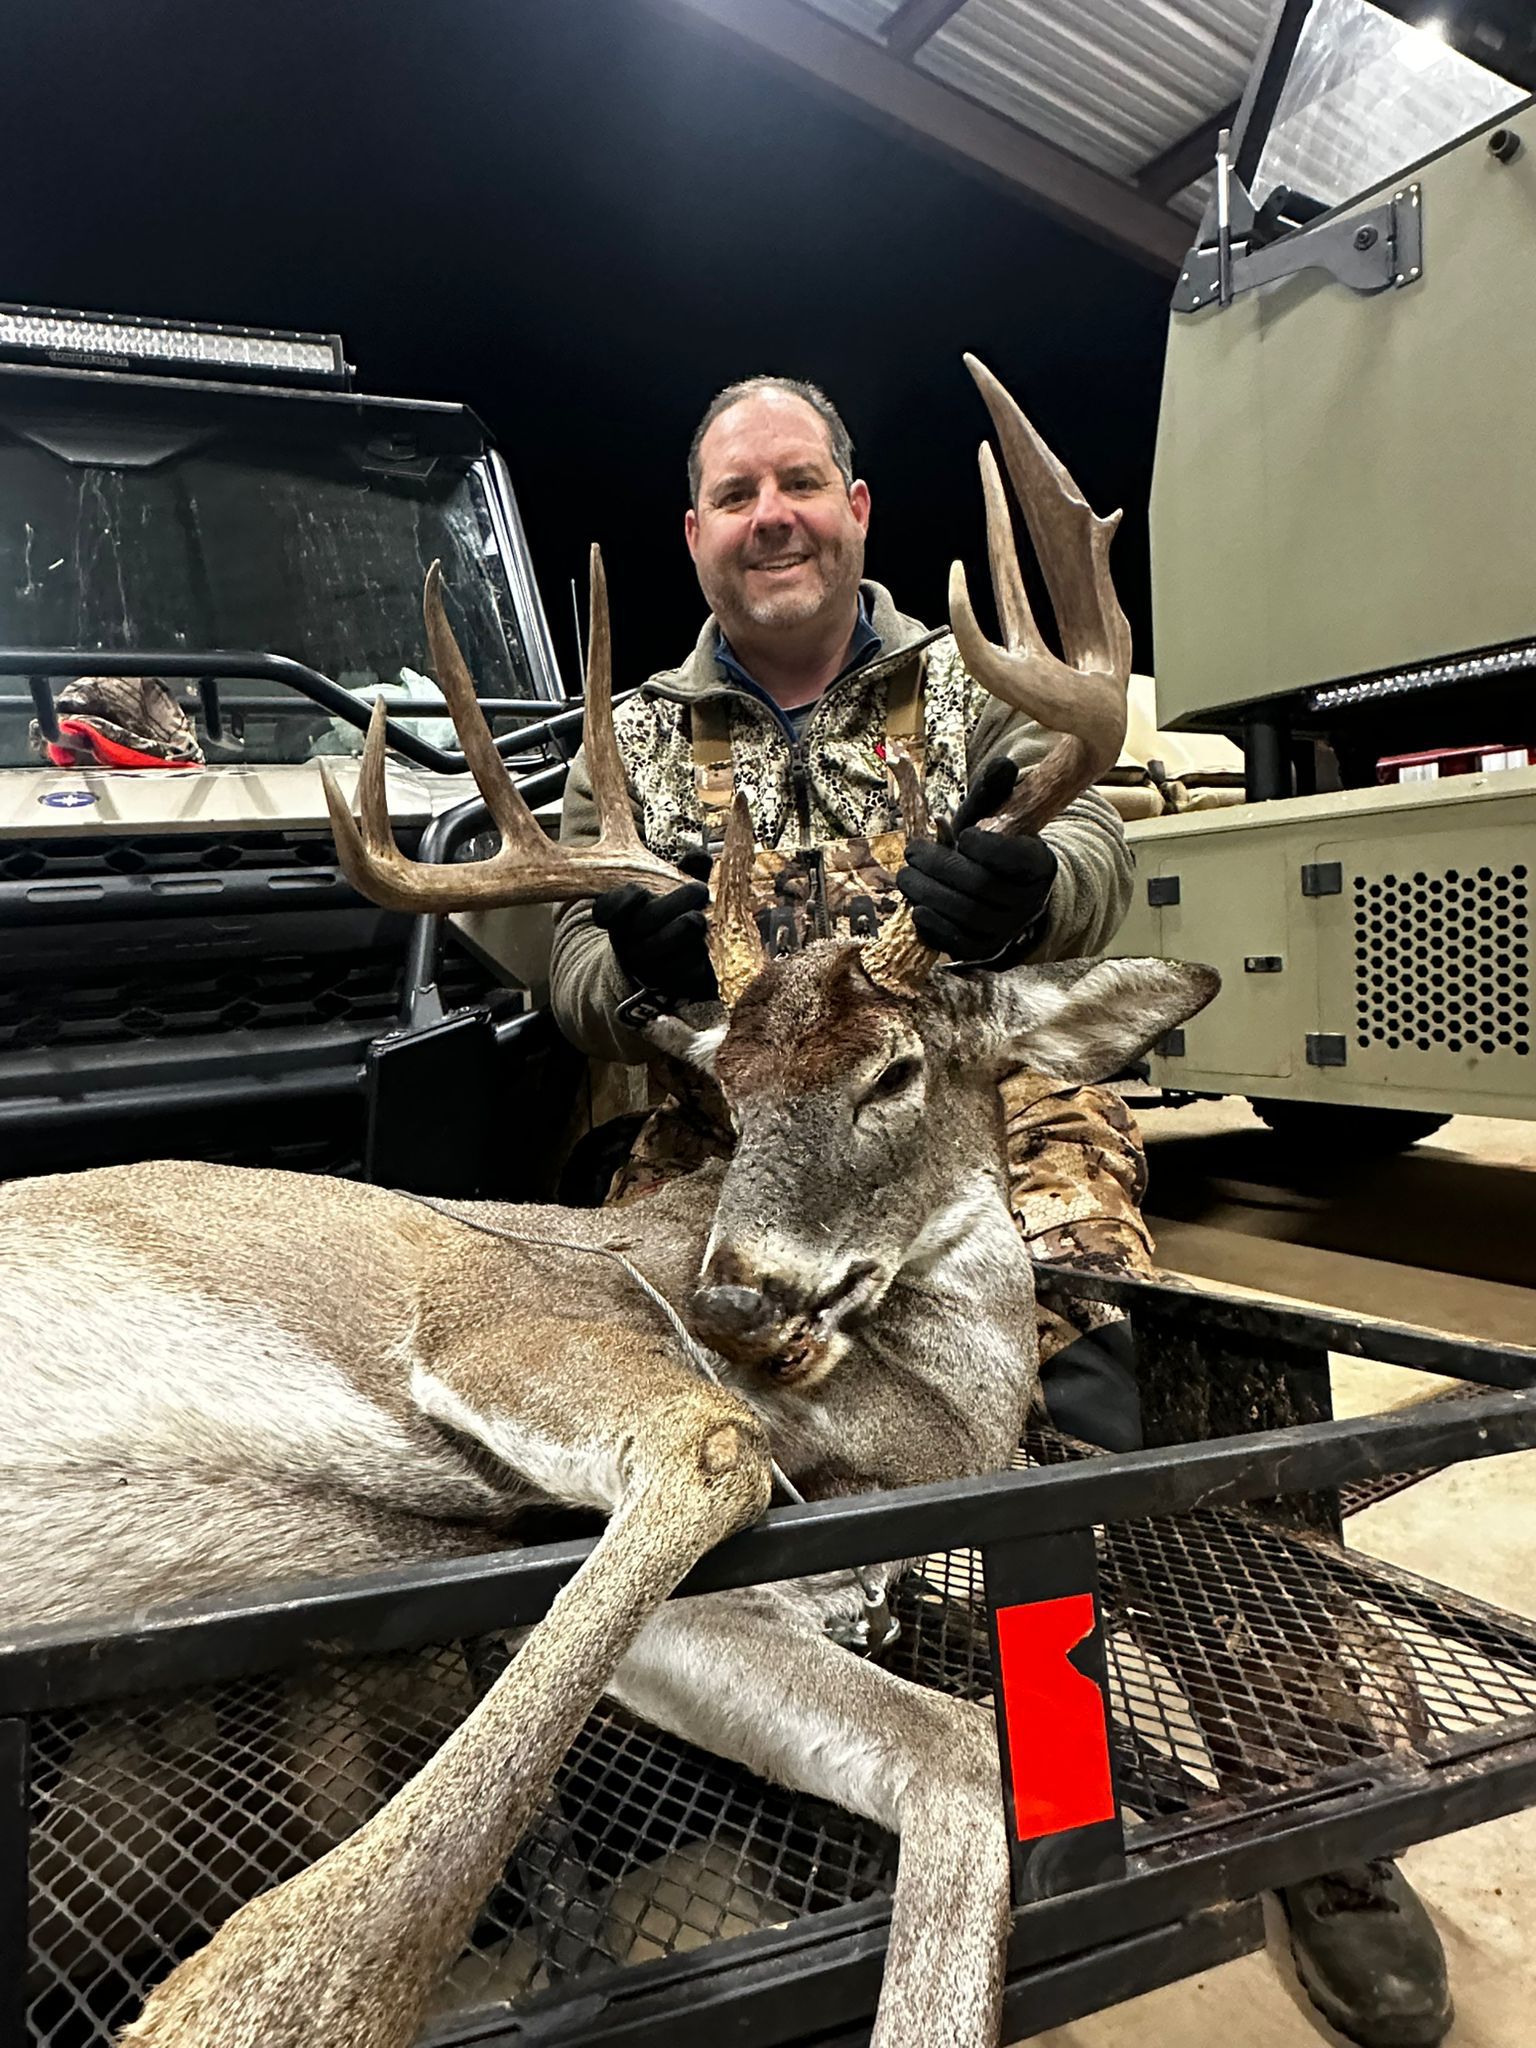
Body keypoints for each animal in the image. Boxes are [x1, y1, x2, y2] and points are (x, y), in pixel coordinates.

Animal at [0, 357, 1216, 2048]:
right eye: (732, 1096)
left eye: (896, 1070)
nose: (732, 1293)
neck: (923, 1425)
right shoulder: (506, 1321)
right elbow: (707, 1447)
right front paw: (274, 1990)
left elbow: (969, 1761)